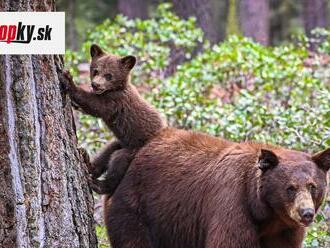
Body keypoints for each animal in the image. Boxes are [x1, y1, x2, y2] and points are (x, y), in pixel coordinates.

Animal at [105, 127, 330, 247]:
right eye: (290, 188)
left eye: (312, 186)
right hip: (135, 209)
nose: (306, 213)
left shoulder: (283, 230)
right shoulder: (232, 205)